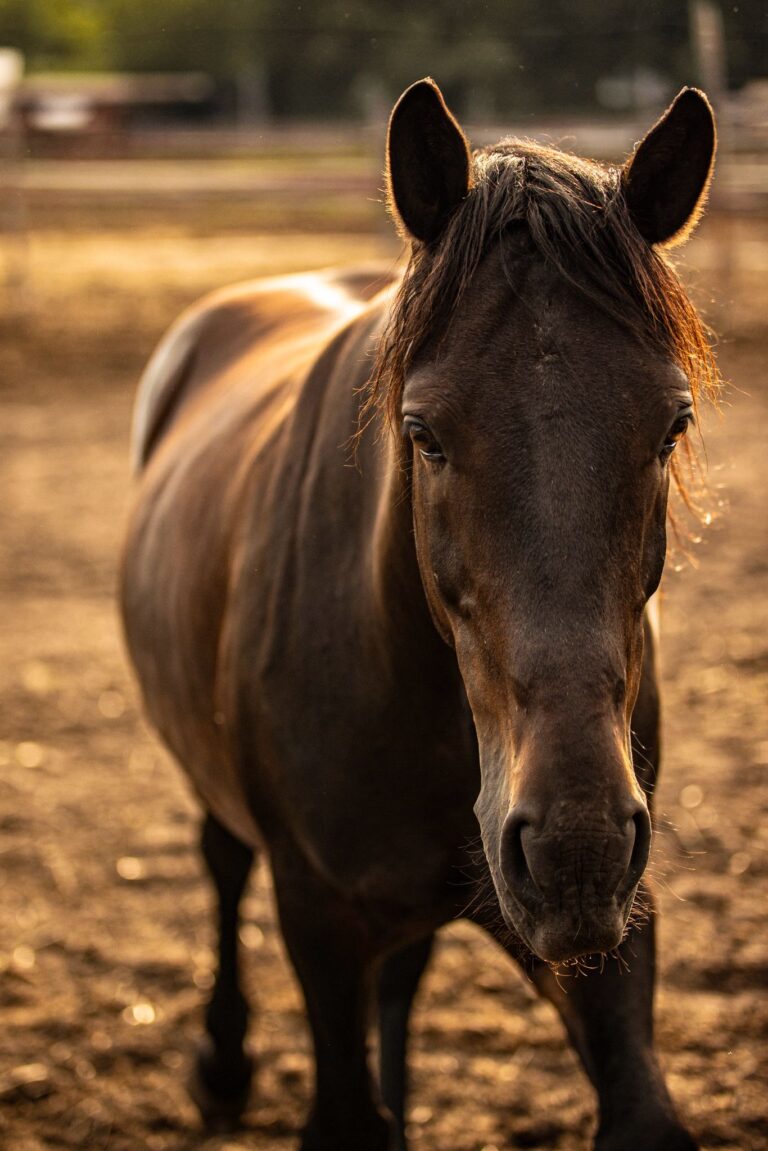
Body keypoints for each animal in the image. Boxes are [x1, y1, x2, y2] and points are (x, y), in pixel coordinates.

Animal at [120, 79, 719, 1150]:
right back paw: (223, 1067)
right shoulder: (318, 920)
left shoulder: (614, 938)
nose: (574, 848)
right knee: (221, 860)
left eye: (672, 425)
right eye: (424, 432)